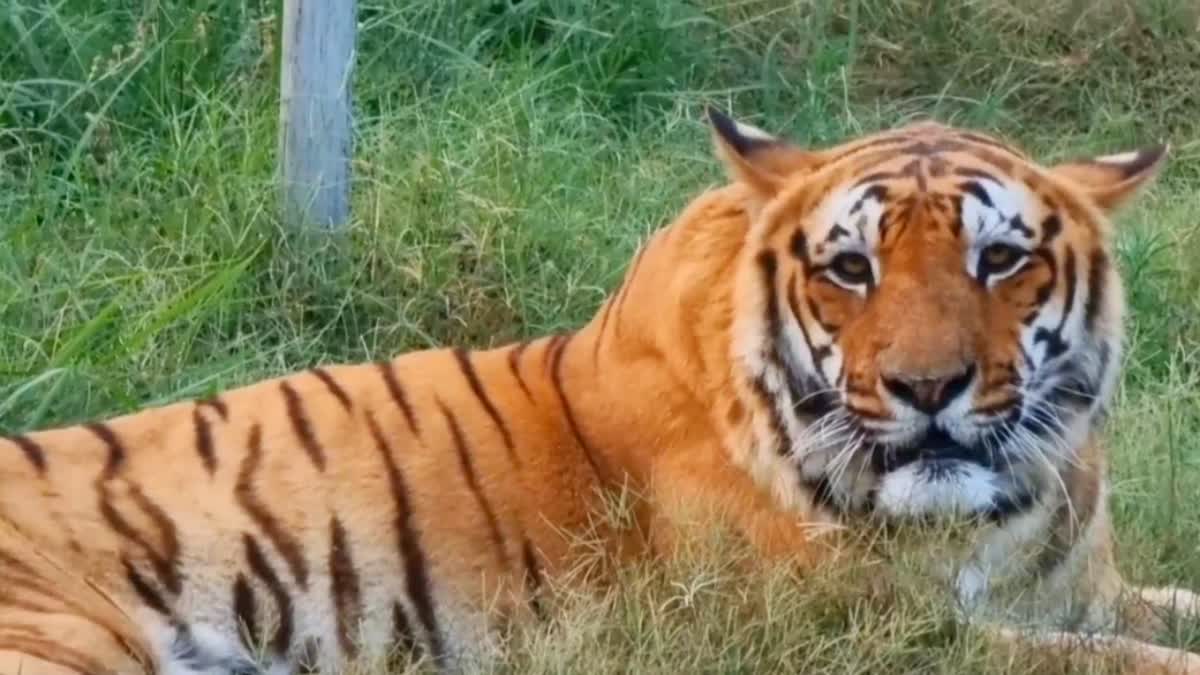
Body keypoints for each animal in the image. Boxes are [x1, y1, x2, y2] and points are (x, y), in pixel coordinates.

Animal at [2, 106, 1200, 672]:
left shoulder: (1081, 589)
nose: (926, 386)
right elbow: (1115, 664)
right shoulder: (856, 637)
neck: (1004, 513)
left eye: (1000, 260)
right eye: (850, 268)